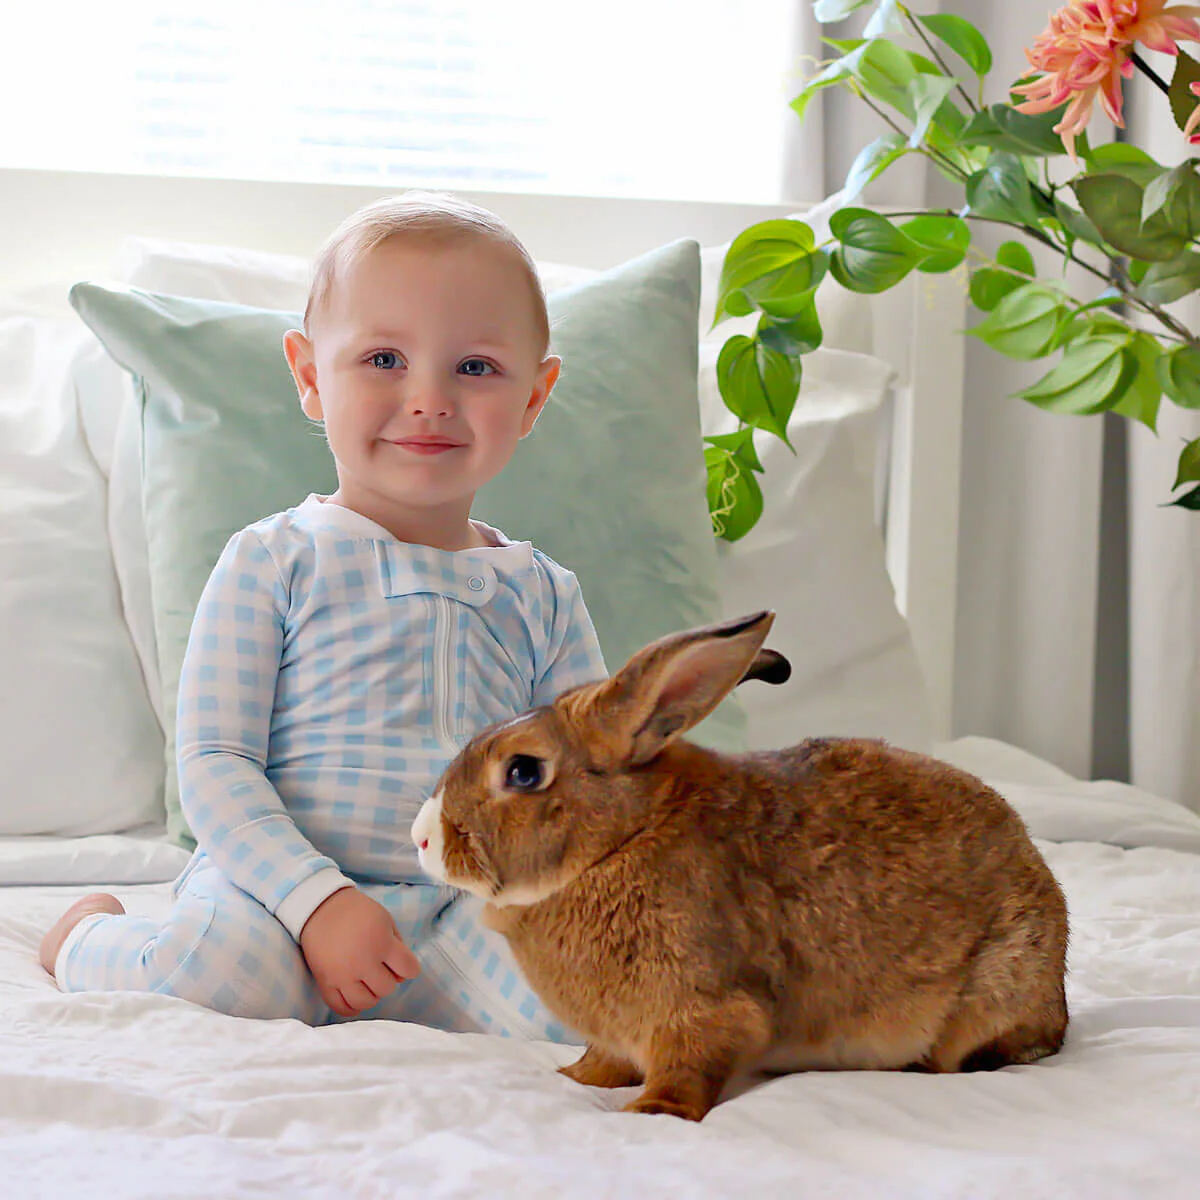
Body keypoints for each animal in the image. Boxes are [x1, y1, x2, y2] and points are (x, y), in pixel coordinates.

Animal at [411, 611, 1069, 1122]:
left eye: (523, 772)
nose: (421, 837)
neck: (621, 839)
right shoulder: (619, 1032)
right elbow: (605, 1061)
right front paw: (574, 1080)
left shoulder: (699, 1010)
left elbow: (688, 1066)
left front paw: (653, 1112)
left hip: (994, 989)